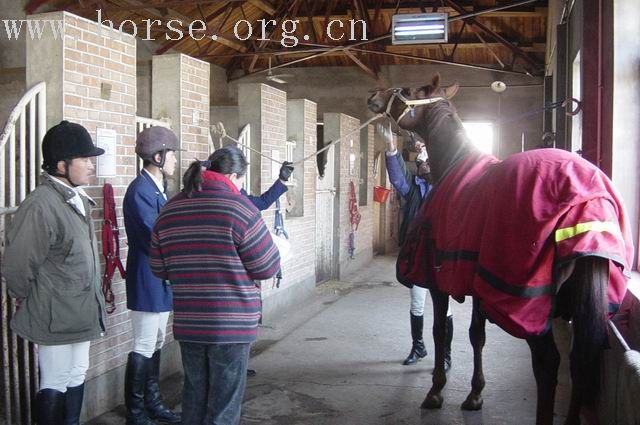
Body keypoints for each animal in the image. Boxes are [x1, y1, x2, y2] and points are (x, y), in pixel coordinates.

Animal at [368, 74, 632, 422]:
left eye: (407, 90)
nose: (373, 95)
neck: (454, 163)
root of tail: (589, 201)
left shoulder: (439, 282)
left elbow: (440, 331)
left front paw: (436, 391)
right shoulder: (478, 284)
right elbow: (476, 336)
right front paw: (475, 395)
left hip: (528, 306)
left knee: (548, 363)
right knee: (580, 363)